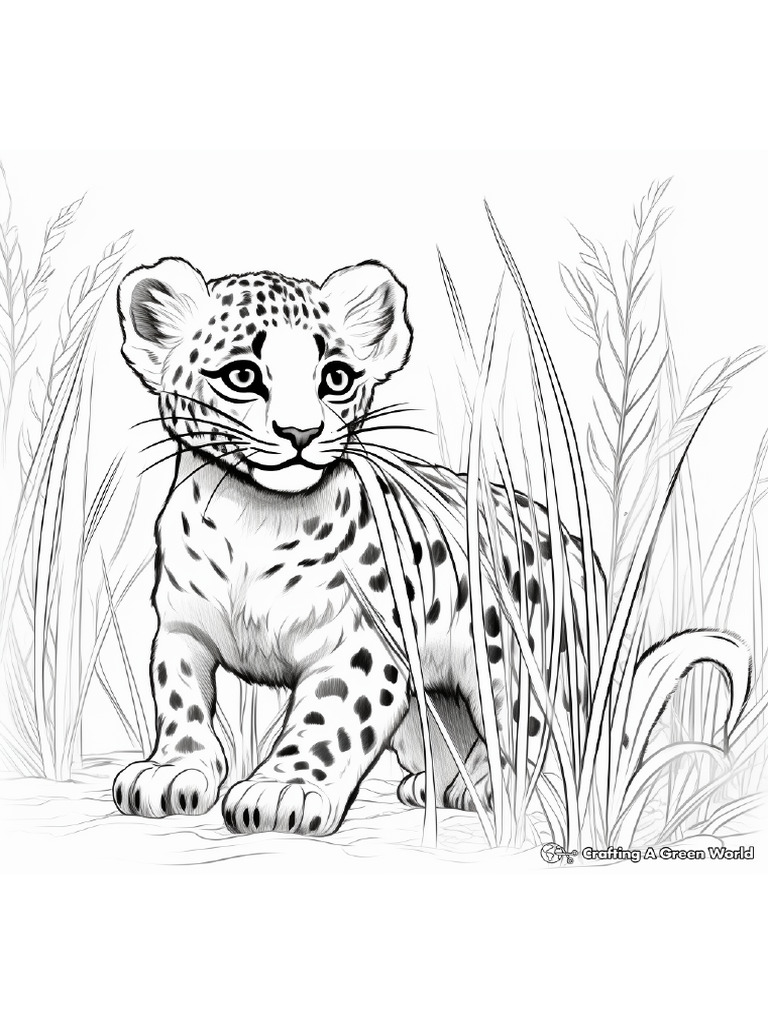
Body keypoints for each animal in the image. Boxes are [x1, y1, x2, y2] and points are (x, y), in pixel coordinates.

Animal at [112, 256, 596, 836]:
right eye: (242, 376)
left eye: (335, 378)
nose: (301, 432)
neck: (252, 518)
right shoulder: (182, 628)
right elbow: (179, 696)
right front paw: (171, 770)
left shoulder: (361, 644)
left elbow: (327, 717)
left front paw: (284, 790)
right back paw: (429, 786)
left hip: (523, 664)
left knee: (529, 733)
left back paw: (481, 787)